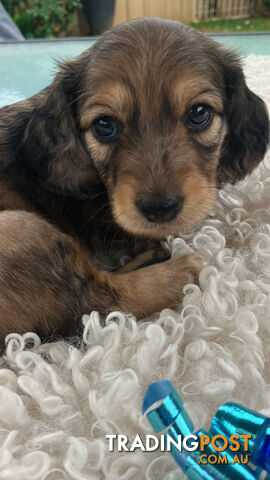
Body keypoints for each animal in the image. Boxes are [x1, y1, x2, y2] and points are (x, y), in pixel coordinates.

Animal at [0, 16, 268, 344]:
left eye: (199, 112)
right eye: (104, 124)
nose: (160, 209)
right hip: (21, 228)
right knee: (98, 300)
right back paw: (178, 271)